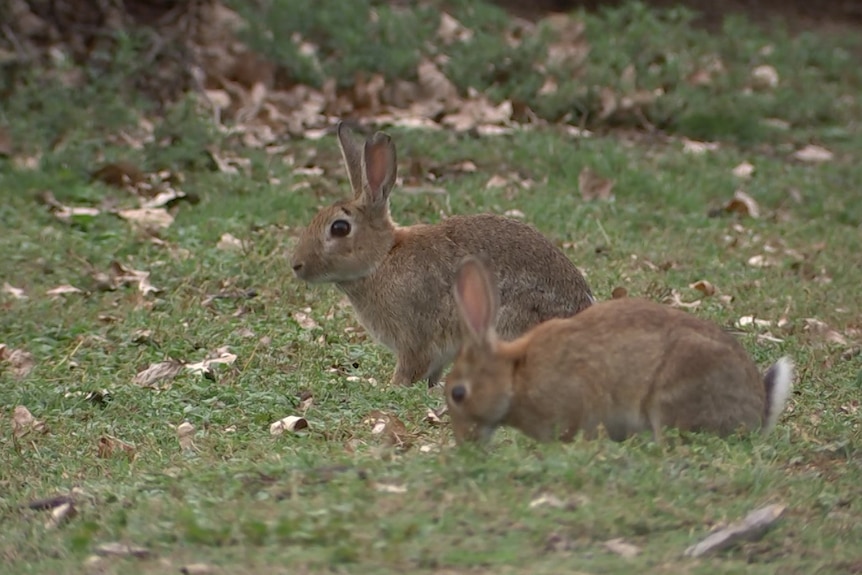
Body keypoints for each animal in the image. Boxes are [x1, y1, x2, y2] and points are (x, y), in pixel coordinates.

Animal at [290, 124, 592, 390]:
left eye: (340, 228)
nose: (296, 265)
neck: (383, 258)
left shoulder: (415, 338)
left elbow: (410, 368)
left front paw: (392, 387)